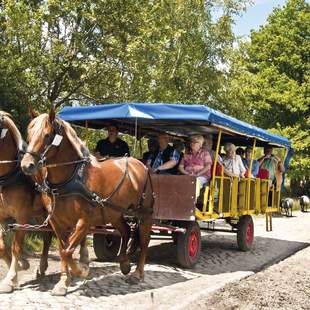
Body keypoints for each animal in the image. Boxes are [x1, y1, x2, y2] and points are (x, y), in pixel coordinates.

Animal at [0, 112, 52, 294]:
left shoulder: (22, 217)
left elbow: (16, 246)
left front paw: (10, 279)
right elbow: (2, 246)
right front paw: (22, 265)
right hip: (40, 214)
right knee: (47, 236)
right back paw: (42, 268)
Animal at [20, 108, 154, 296]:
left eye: (47, 135)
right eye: (29, 134)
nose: (27, 165)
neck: (72, 177)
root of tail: (140, 164)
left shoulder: (84, 221)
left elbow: (68, 251)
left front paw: (82, 270)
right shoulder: (57, 221)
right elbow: (63, 250)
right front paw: (63, 282)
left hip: (144, 213)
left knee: (144, 240)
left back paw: (138, 273)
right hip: (115, 213)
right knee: (126, 231)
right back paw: (124, 262)